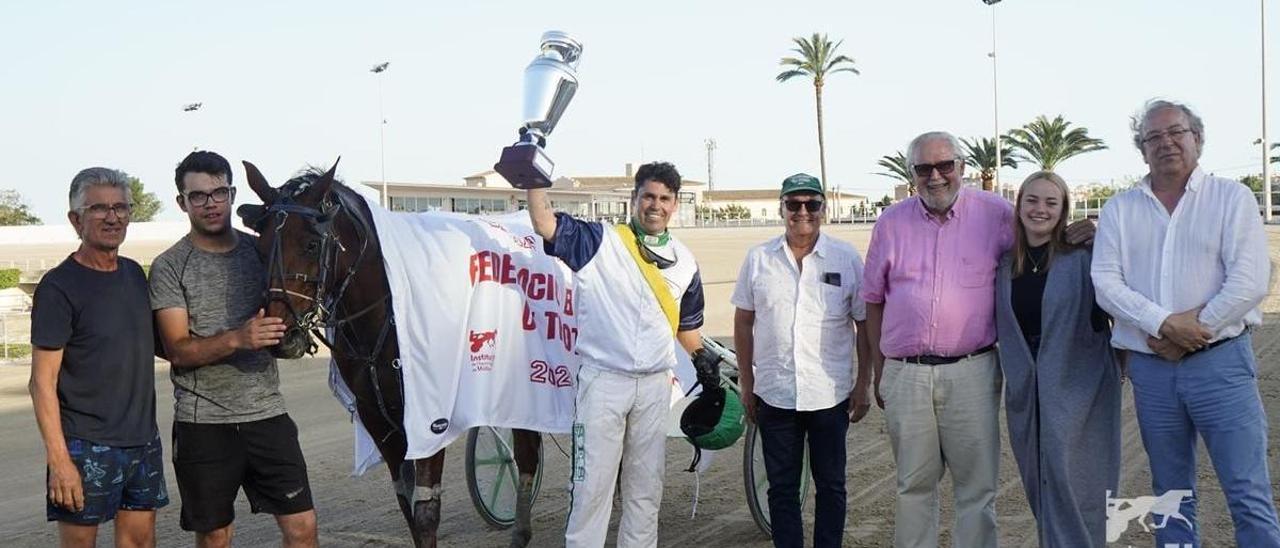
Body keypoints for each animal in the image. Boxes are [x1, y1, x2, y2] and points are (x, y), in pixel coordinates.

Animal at [238, 159, 542, 548]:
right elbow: (406, 503)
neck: (391, 313)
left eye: (311, 244)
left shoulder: (431, 416)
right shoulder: (378, 419)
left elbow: (426, 511)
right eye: (260, 247)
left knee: (528, 451)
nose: (280, 334)